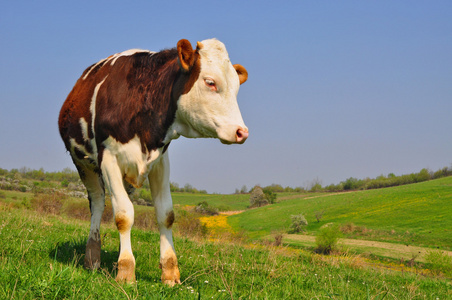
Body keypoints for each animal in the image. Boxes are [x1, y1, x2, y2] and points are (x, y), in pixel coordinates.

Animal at [58, 38, 249, 284]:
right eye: (210, 82)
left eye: (236, 88)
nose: (241, 132)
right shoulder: (108, 158)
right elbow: (123, 215)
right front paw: (126, 271)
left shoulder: (160, 160)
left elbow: (165, 214)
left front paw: (170, 272)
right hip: (84, 164)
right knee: (98, 204)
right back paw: (92, 259)